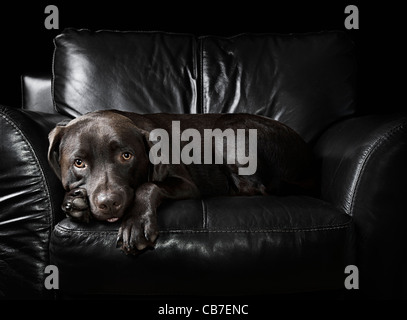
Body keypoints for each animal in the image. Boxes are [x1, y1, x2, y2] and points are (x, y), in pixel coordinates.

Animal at [48, 110, 316, 255]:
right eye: (79, 163)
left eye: (126, 156)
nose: (109, 203)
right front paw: (75, 203)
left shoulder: (185, 184)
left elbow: (148, 186)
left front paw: (136, 224)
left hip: (230, 127)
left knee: (254, 189)